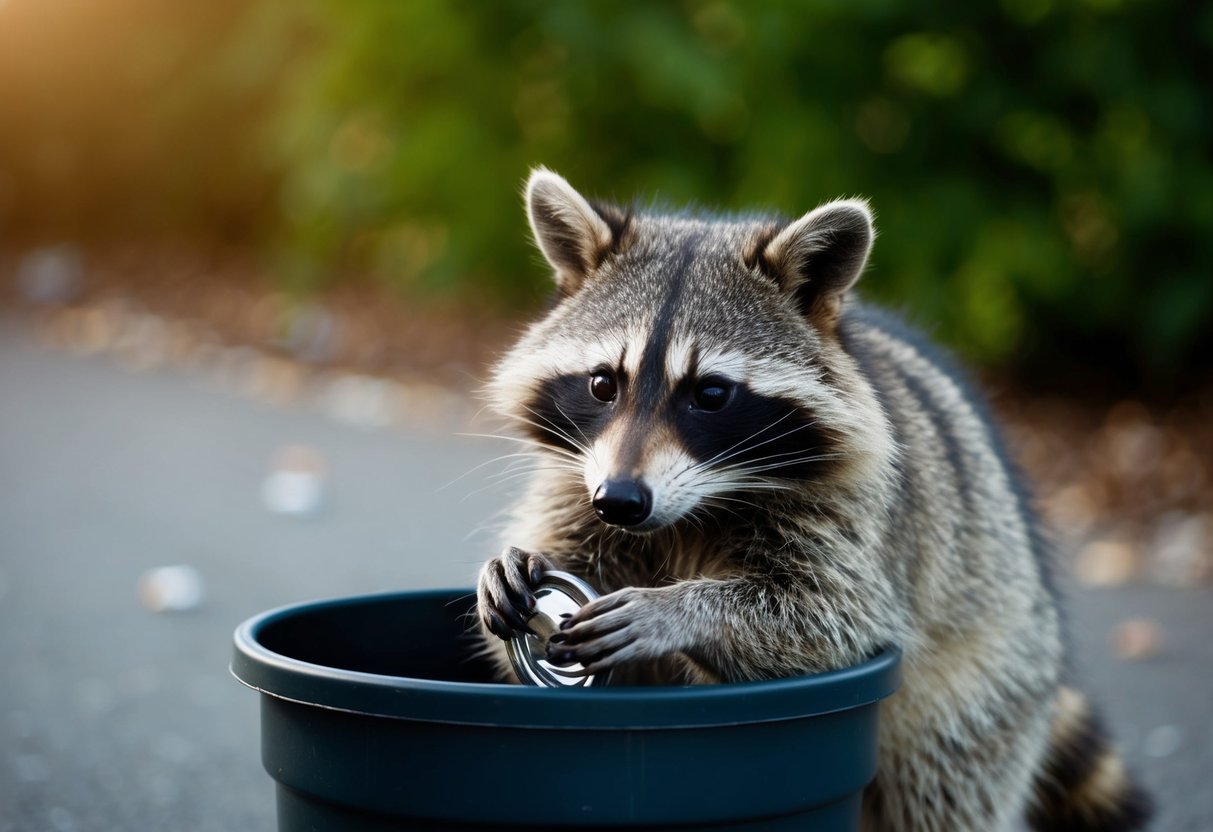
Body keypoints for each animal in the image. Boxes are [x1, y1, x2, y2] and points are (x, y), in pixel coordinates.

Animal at [475, 168, 1151, 832]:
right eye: (601, 384)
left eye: (710, 394)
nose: (619, 501)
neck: (689, 510)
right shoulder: (577, 478)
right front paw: (516, 569)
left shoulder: (855, 517)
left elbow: (833, 621)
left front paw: (678, 610)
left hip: (982, 693)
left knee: (943, 790)